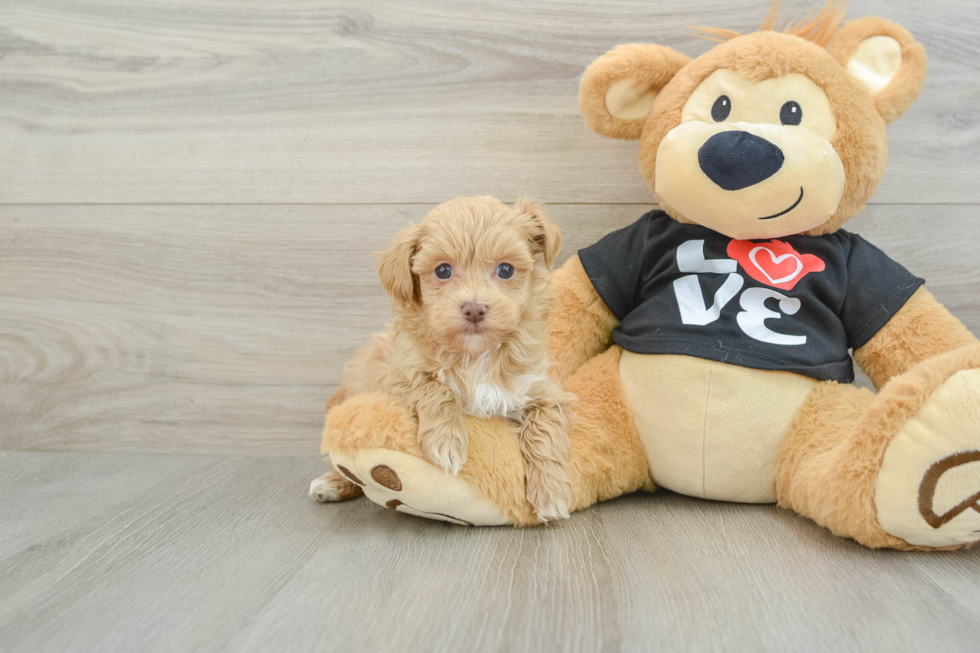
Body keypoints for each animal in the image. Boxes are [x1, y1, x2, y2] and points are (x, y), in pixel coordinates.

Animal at [312, 196, 576, 524]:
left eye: (505, 269)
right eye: (442, 271)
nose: (474, 309)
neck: (475, 355)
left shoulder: (542, 389)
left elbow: (545, 429)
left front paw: (552, 494)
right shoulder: (398, 375)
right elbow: (435, 387)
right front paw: (446, 444)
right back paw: (332, 483)